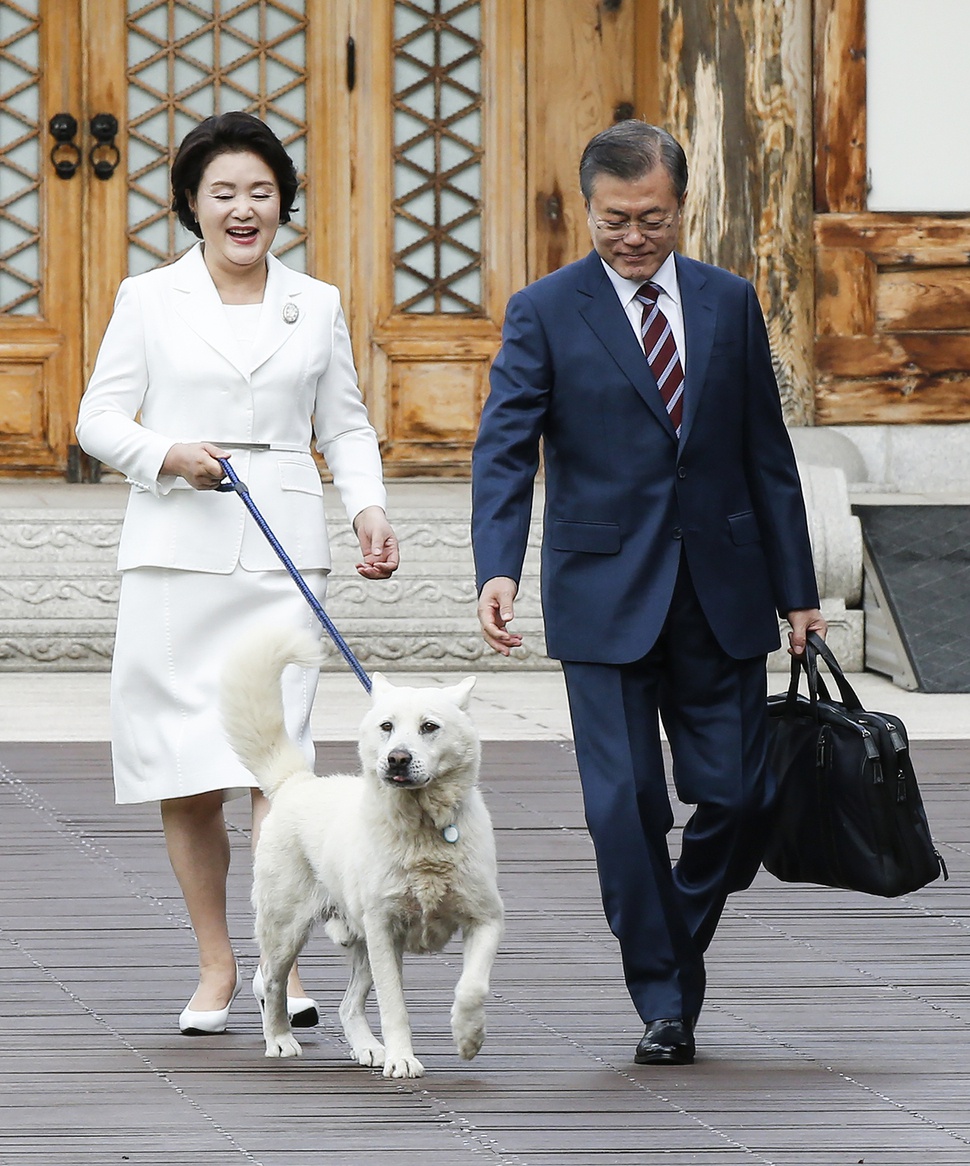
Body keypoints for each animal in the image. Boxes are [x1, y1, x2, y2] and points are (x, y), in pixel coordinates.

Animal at [222, 624, 503, 1077]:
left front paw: (468, 1037)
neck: (421, 829)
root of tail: (296, 783)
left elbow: (473, 987)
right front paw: (403, 1059)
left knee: (347, 1004)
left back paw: (370, 1048)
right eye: (387, 726)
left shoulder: (486, 919)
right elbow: (394, 1005)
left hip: (359, 941)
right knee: (271, 982)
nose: (397, 759)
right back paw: (280, 1039)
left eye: (429, 726)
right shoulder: (385, 929)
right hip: (287, 928)